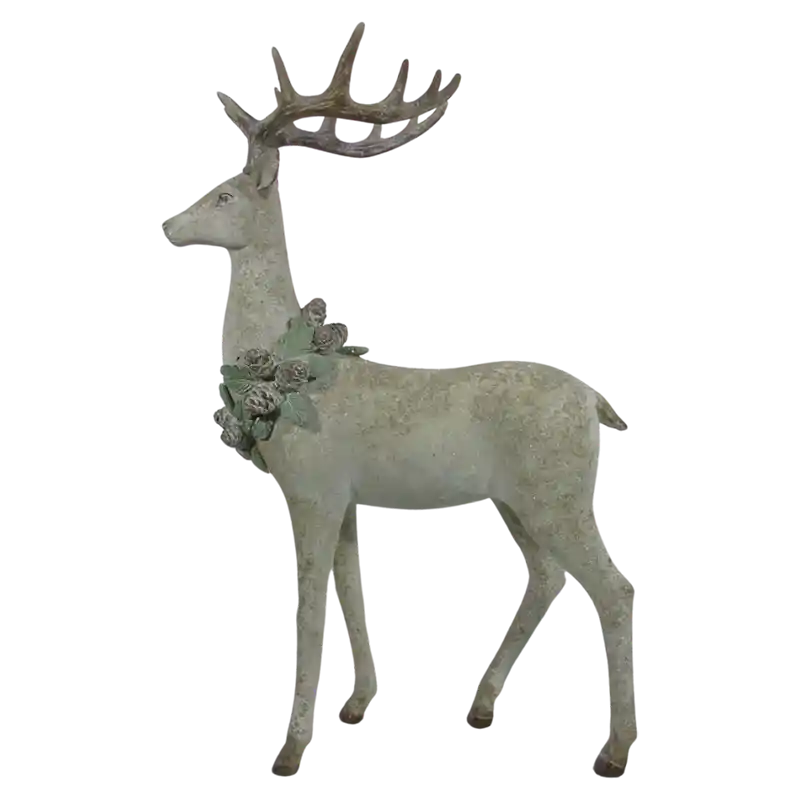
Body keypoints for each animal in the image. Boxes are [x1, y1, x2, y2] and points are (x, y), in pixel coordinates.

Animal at [160, 18, 639, 781]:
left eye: (227, 196)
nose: (168, 223)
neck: (289, 370)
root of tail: (594, 405)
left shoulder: (315, 489)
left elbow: (310, 611)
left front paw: (291, 746)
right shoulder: (348, 499)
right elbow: (353, 595)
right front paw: (358, 705)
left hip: (559, 493)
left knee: (615, 588)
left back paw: (616, 748)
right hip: (519, 504)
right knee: (544, 586)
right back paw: (481, 705)